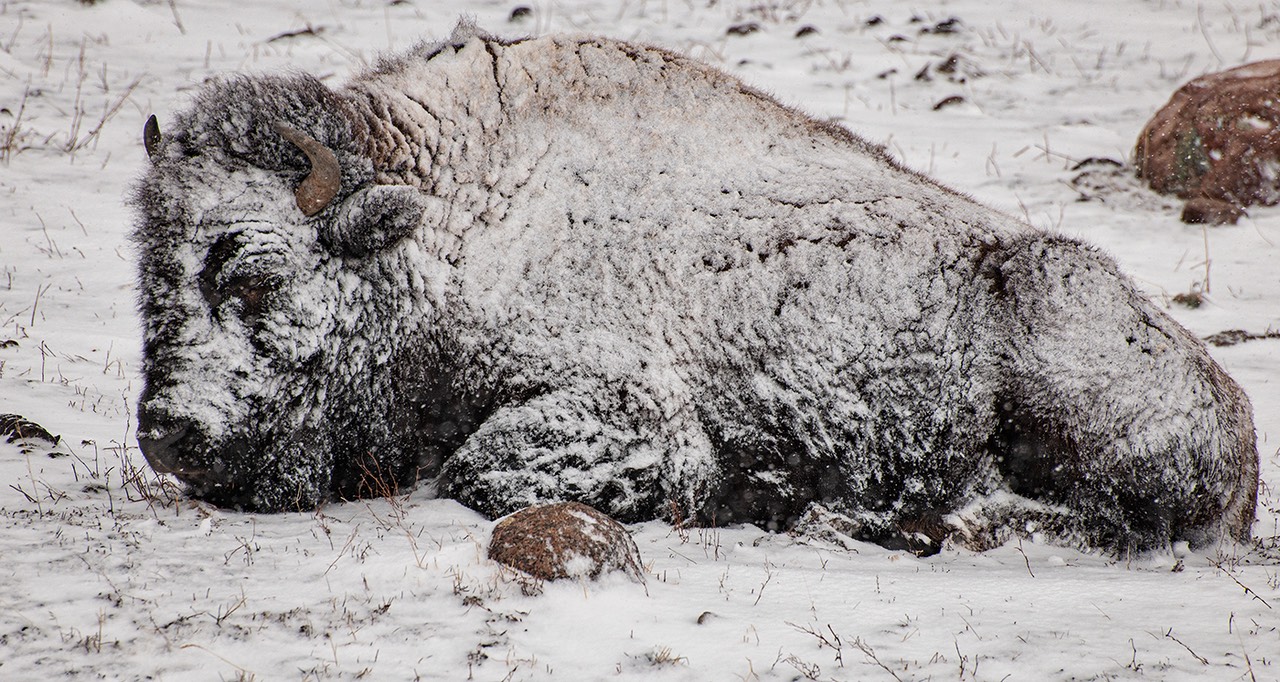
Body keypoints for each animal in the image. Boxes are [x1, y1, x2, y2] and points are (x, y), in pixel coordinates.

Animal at [132, 22, 1259, 552]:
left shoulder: (634, 413)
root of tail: (1237, 422)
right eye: (150, 281)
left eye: (256, 273)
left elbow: (474, 470)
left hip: (1065, 361)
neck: (448, 224)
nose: (168, 432)